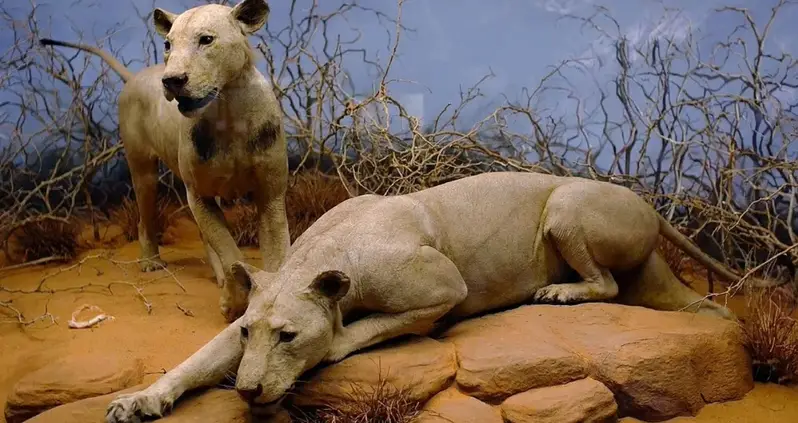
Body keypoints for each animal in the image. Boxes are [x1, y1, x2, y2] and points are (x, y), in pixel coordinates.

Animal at [39, 0, 290, 322]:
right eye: (168, 44)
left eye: (206, 40)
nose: (172, 80)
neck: (228, 112)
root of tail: (134, 76)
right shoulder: (198, 194)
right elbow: (230, 252)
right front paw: (233, 303)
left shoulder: (270, 195)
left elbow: (277, 256)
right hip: (143, 170)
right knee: (146, 218)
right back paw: (151, 262)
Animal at [104, 172, 776, 423]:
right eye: (250, 333)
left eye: (290, 336)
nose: (246, 391)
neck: (322, 258)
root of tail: (651, 206)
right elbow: (195, 361)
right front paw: (141, 400)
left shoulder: (444, 286)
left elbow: (363, 329)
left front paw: (334, 342)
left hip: (567, 205)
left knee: (607, 284)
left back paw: (559, 291)